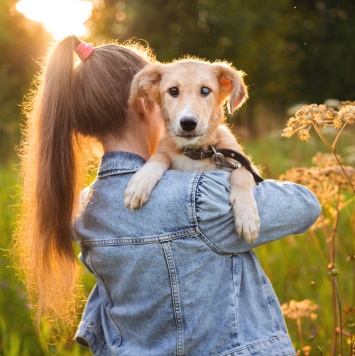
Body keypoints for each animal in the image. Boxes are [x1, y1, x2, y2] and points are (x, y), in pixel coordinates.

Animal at [124, 59, 262, 242]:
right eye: (173, 90)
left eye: (205, 90)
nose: (188, 123)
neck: (196, 154)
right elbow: (161, 155)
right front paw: (140, 183)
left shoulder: (247, 169)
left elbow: (242, 173)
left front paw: (247, 216)